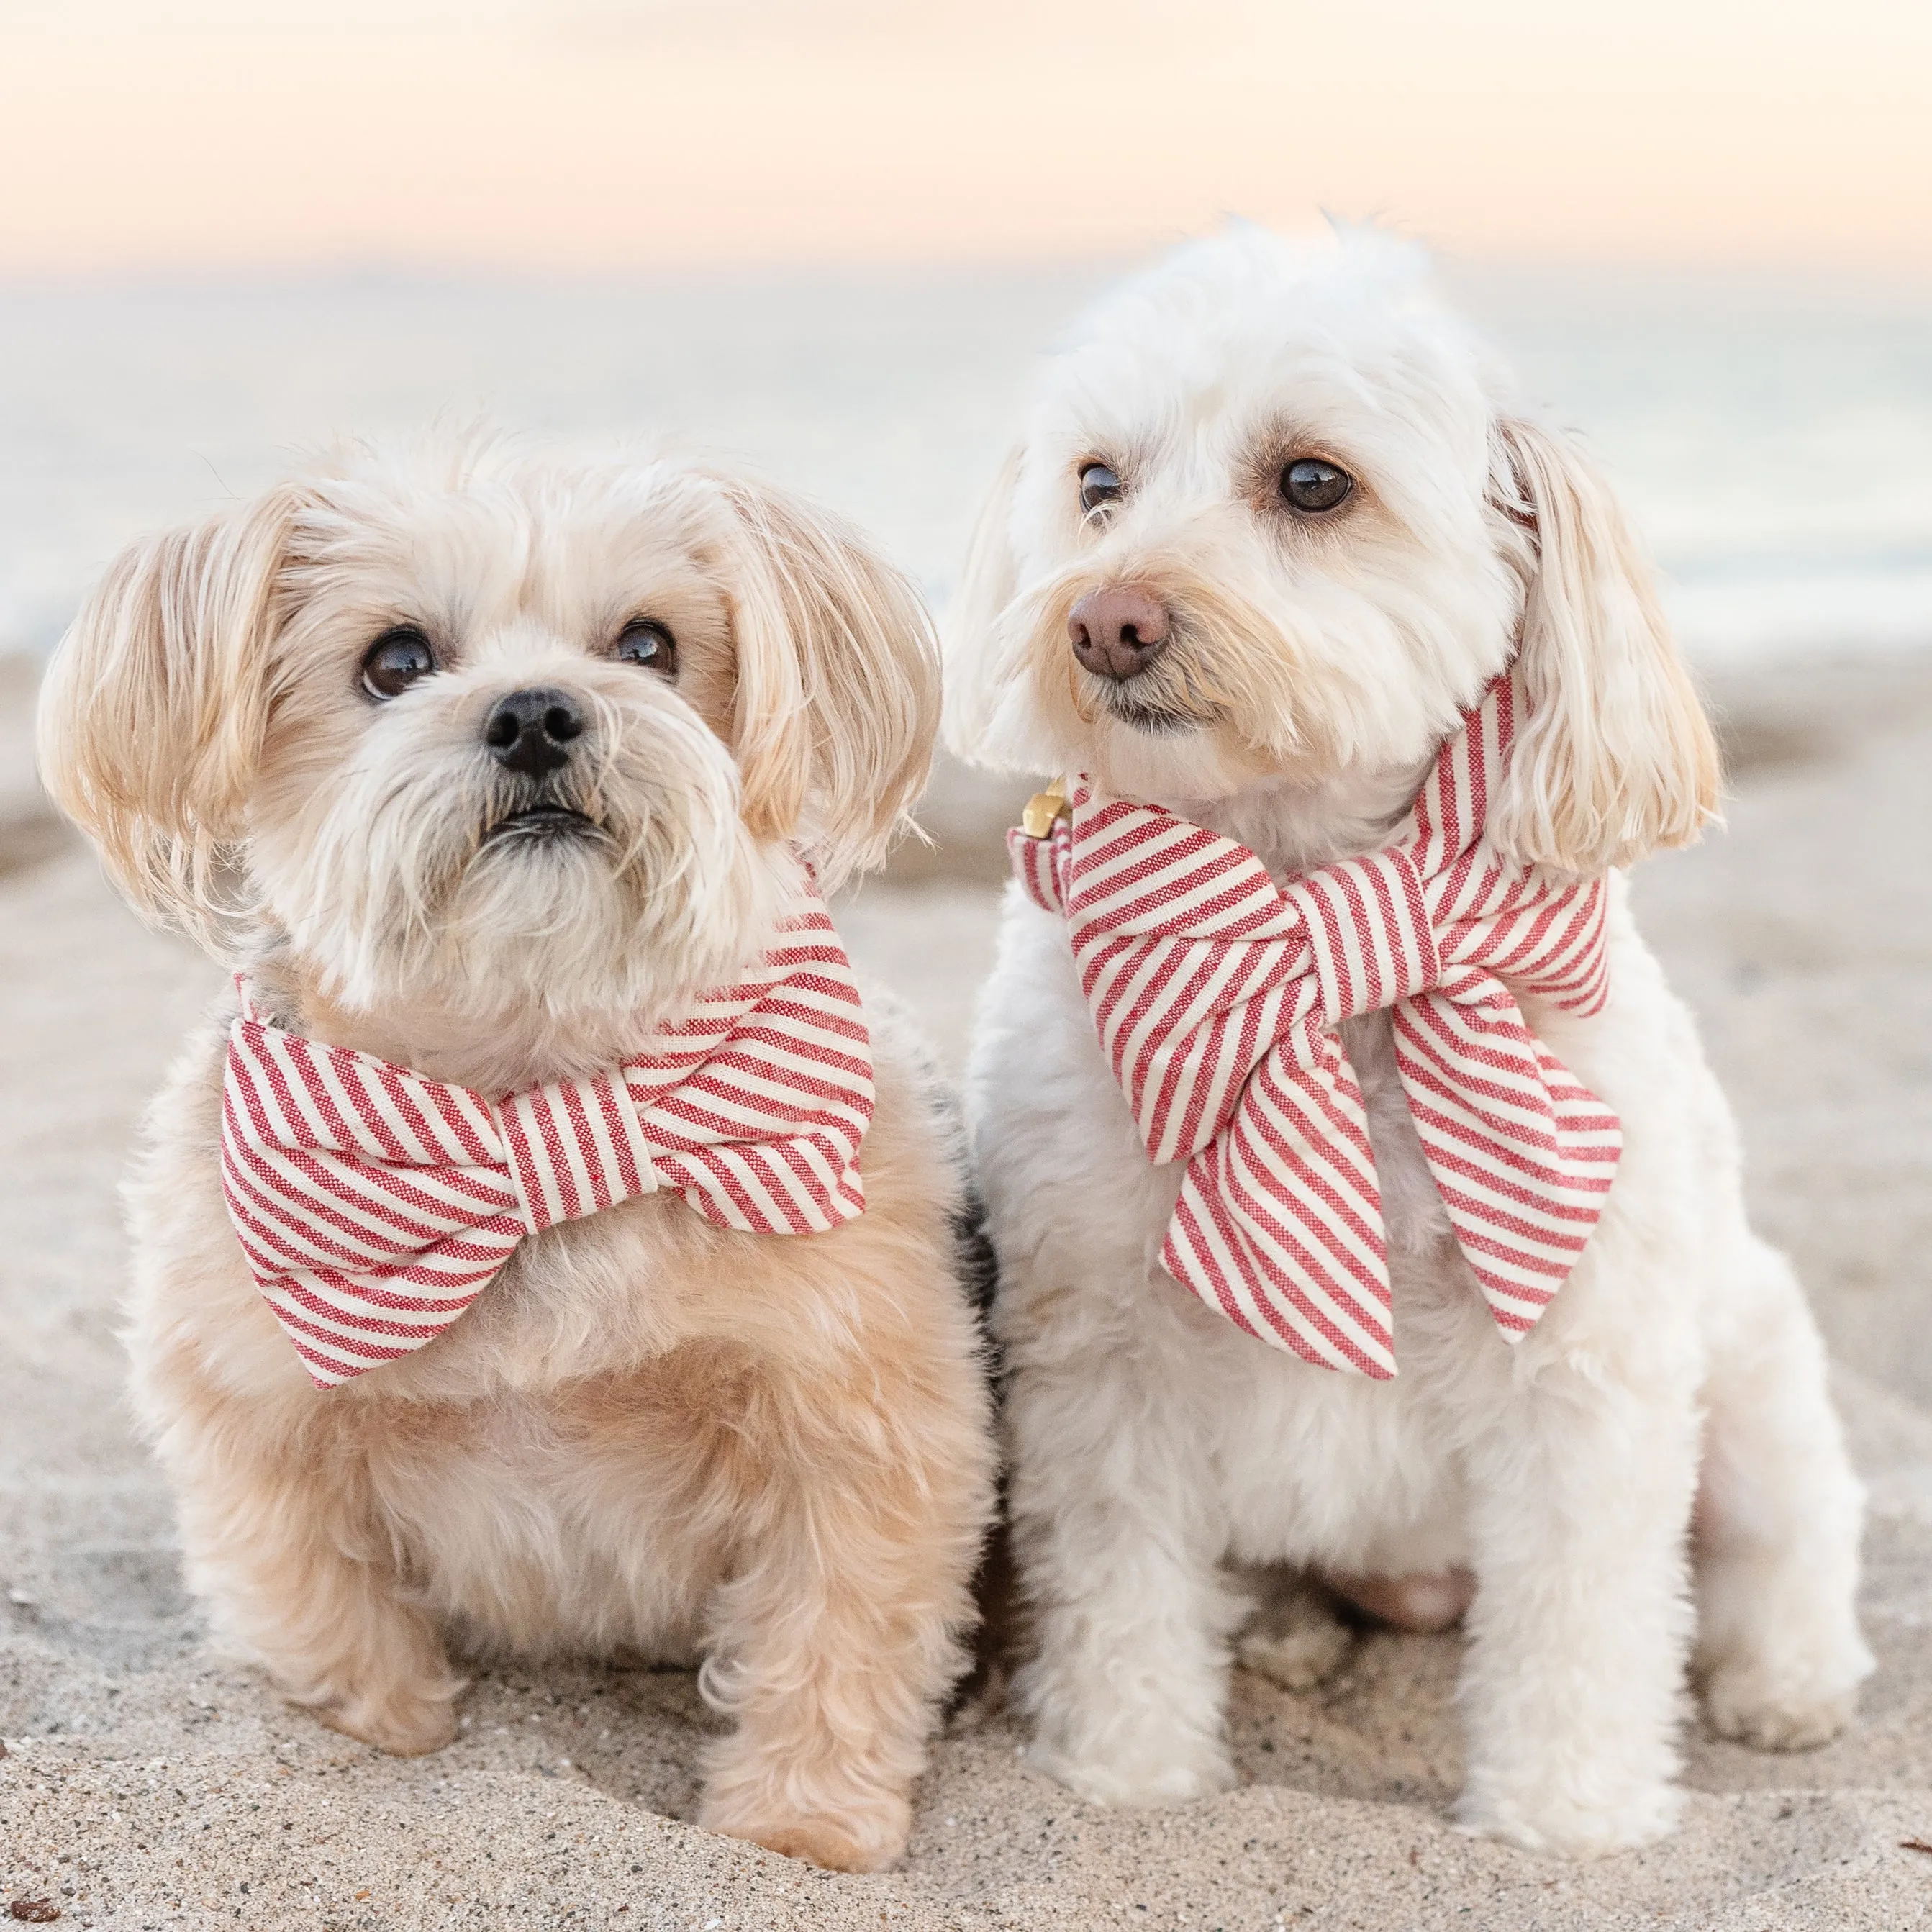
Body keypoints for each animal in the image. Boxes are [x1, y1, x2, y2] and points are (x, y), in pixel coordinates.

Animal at [37, 438, 997, 1870]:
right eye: (394, 660)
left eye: (650, 645)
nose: (539, 714)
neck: (529, 1092)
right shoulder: (255, 1420)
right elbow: (324, 1615)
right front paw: (381, 1736)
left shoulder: (862, 1423)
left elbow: (837, 1639)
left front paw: (800, 1829)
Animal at [943, 226, 1877, 1854]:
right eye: (1096, 482)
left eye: (1313, 482)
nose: (1102, 617)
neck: (1305, 914)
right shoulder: (1102, 1349)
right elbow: (1121, 1591)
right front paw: (1125, 1772)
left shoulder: (1585, 1366)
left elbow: (1579, 1622)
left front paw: (1566, 1818)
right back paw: (1287, 1632)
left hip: (1755, 1376)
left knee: (1791, 1545)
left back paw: (1786, 1686)